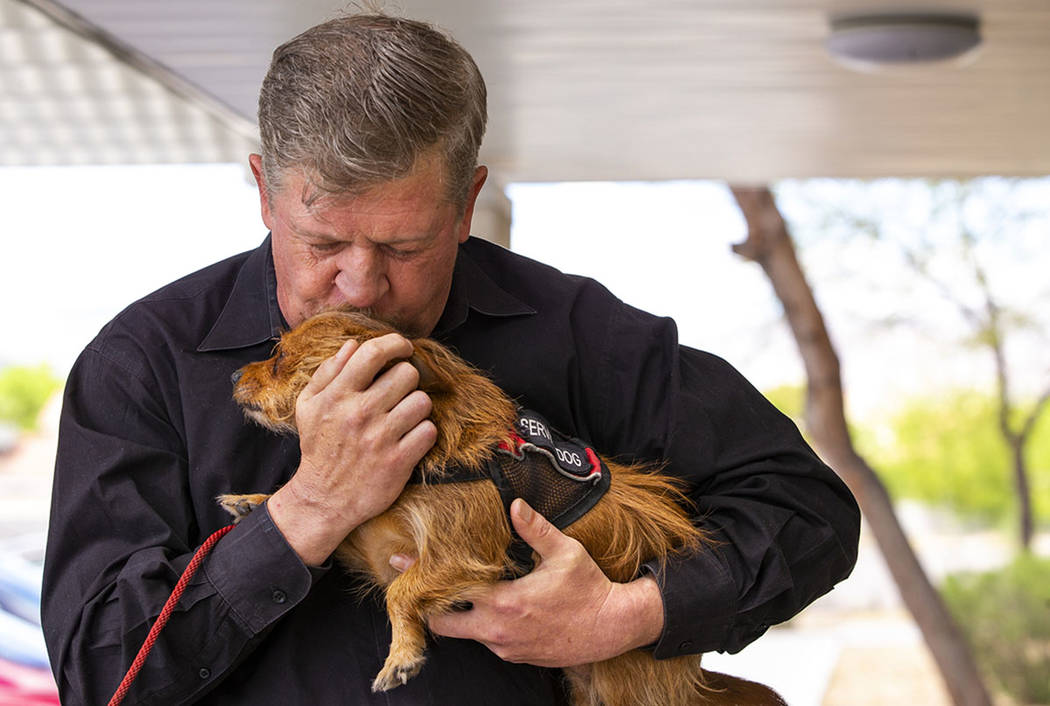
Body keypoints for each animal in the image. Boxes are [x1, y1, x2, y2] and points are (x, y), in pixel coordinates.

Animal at [217, 310, 785, 706]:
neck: (424, 455)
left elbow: (401, 591)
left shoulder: (460, 555)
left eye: (279, 357)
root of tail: (692, 674)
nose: (233, 376)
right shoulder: (374, 539)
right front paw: (255, 501)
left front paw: (402, 654)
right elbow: (341, 525)